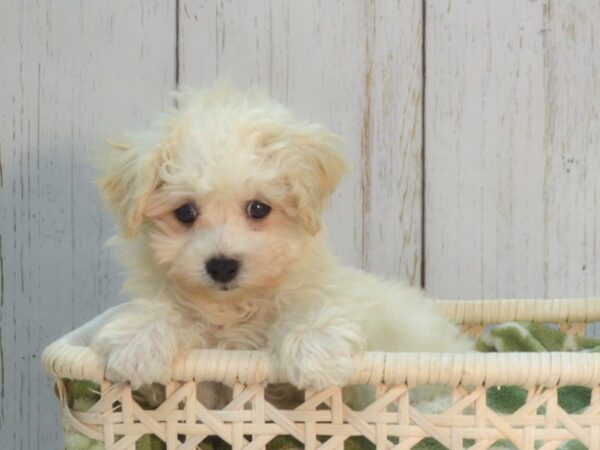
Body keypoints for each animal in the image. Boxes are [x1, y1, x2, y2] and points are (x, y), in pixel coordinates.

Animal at [90, 83, 474, 398]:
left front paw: (316, 349)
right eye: (185, 212)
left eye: (259, 208)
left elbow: (306, 310)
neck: (236, 308)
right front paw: (139, 338)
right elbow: (170, 314)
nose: (222, 266)